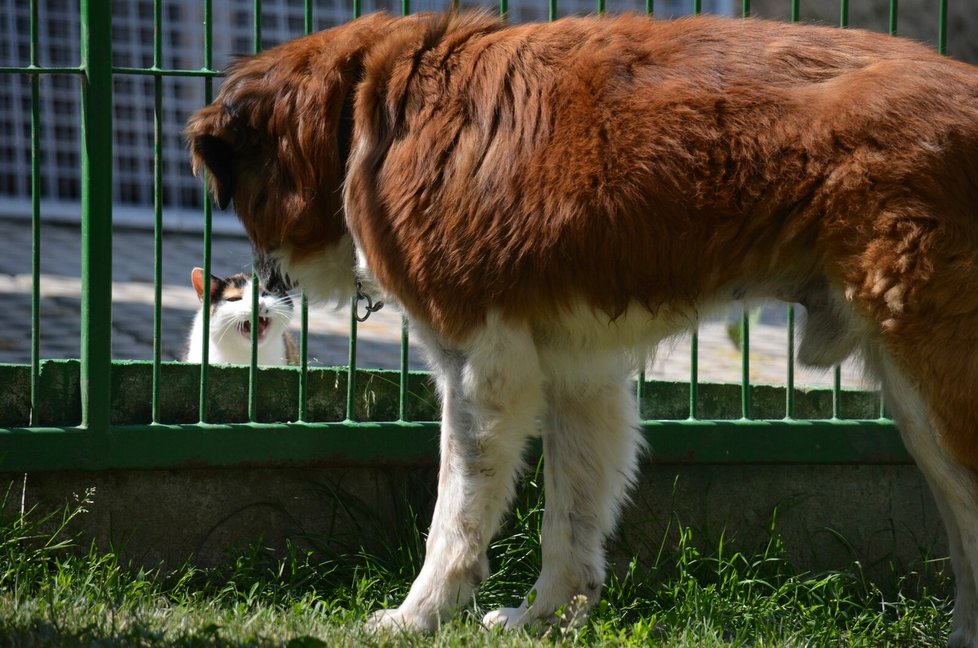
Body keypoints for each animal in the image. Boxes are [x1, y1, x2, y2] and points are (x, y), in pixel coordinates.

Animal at [187, 11, 976, 644]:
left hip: (930, 381)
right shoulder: (578, 373)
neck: (367, 111)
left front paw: (417, 617)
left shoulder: (482, 368)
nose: (262, 287)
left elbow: (455, 517)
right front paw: (543, 620)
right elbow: (569, 522)